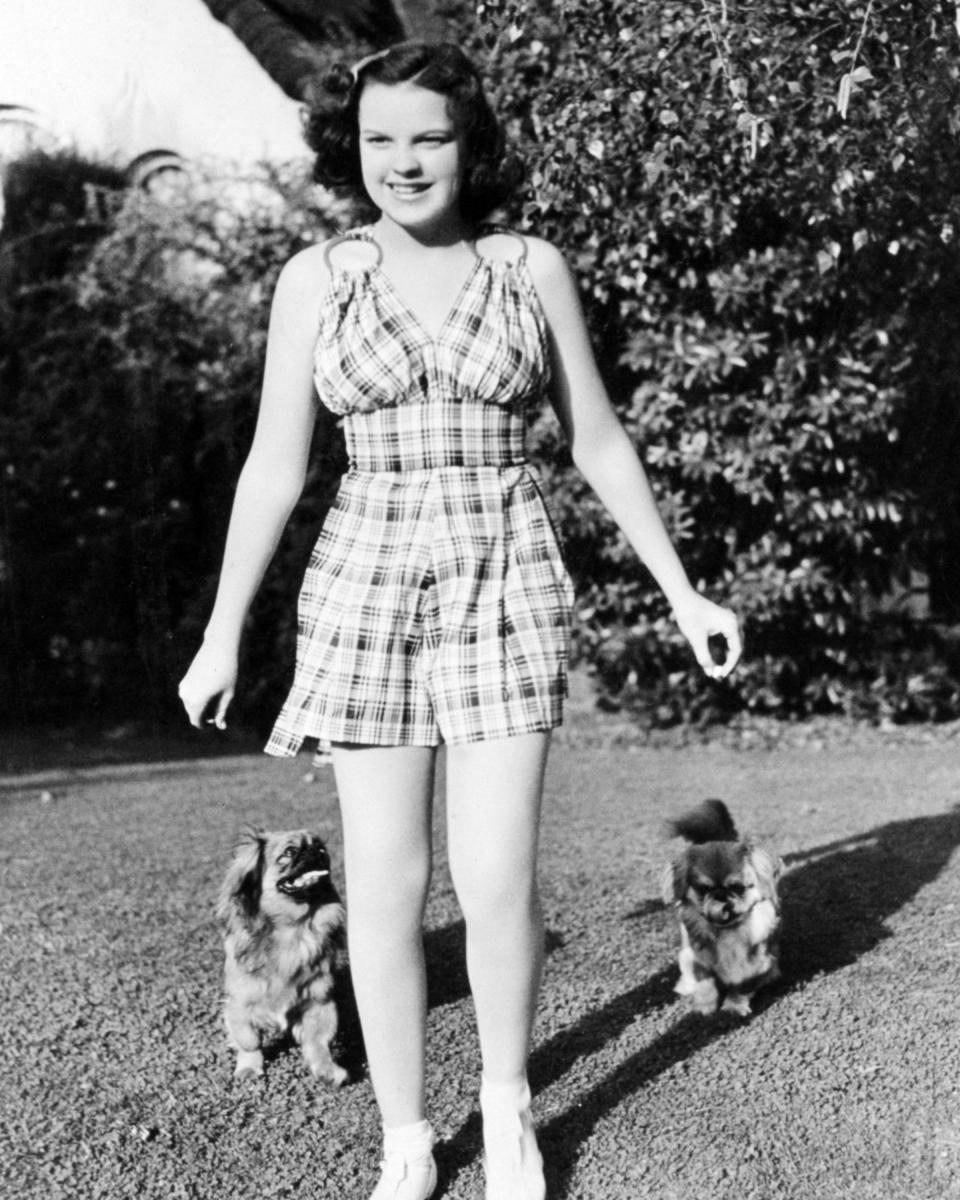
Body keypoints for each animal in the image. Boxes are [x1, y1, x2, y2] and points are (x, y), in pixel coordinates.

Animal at [217, 830, 348, 1084]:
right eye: (289, 852)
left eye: (321, 847)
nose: (318, 851)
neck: (292, 929)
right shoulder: (239, 1002)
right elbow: (249, 1039)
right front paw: (249, 1067)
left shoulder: (319, 1000)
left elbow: (319, 1041)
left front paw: (327, 1070)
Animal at [662, 801, 782, 1017]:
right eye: (703, 889)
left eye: (737, 888)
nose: (720, 895)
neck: (728, 934)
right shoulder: (697, 957)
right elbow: (705, 981)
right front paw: (704, 1006)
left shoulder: (759, 962)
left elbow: (742, 985)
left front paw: (733, 1006)